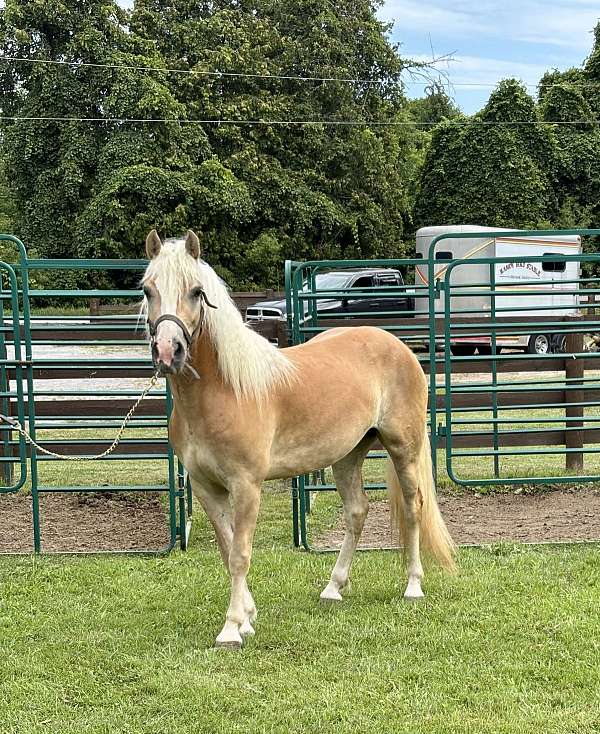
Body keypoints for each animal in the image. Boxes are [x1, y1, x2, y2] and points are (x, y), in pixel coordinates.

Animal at [141, 229, 456, 649]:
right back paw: (333, 588)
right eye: (148, 290)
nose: (167, 350)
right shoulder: (207, 487)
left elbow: (240, 554)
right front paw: (248, 617)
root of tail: (397, 345)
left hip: (403, 449)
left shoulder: (247, 486)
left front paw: (231, 628)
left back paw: (413, 586)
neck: (224, 391)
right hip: (347, 455)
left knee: (413, 506)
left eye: (195, 291)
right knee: (357, 511)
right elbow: (227, 549)